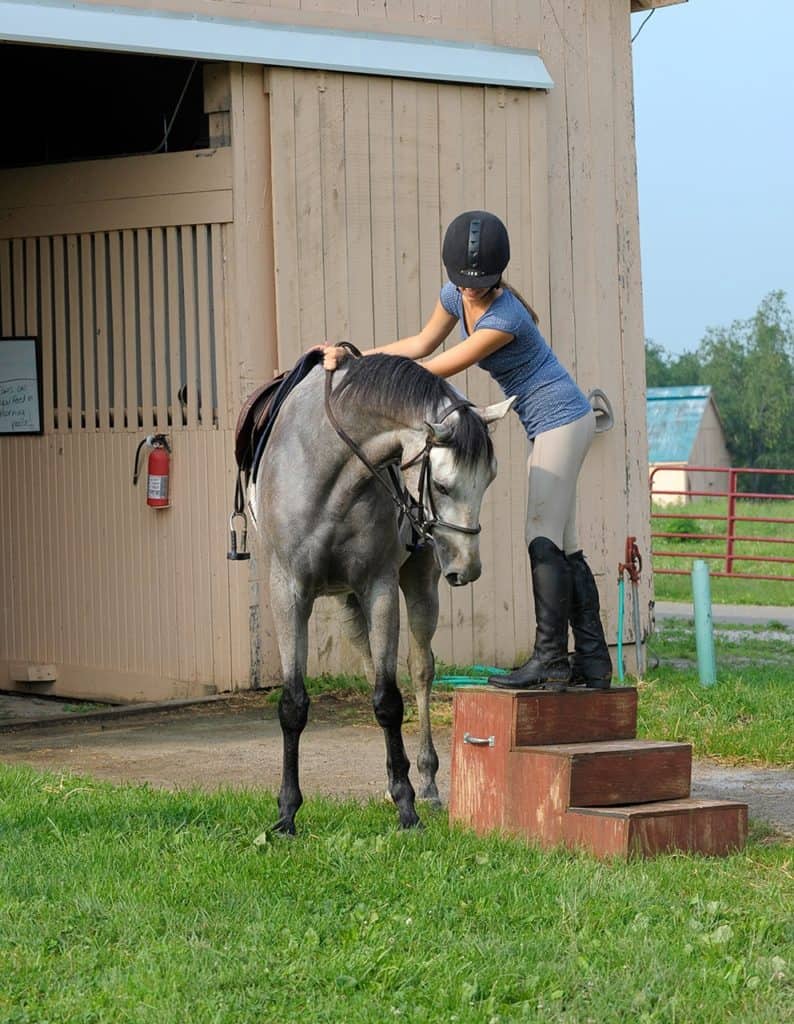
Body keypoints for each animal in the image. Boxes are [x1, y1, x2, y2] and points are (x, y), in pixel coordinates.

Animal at [251, 353, 514, 834]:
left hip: (419, 585)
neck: (325, 470)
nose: (467, 568)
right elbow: (294, 704)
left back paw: (425, 781)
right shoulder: (289, 593)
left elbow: (389, 700)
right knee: (375, 663)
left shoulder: (380, 589)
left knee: (421, 670)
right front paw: (286, 814)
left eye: (489, 480)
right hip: (347, 603)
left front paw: (407, 806)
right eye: (442, 485)